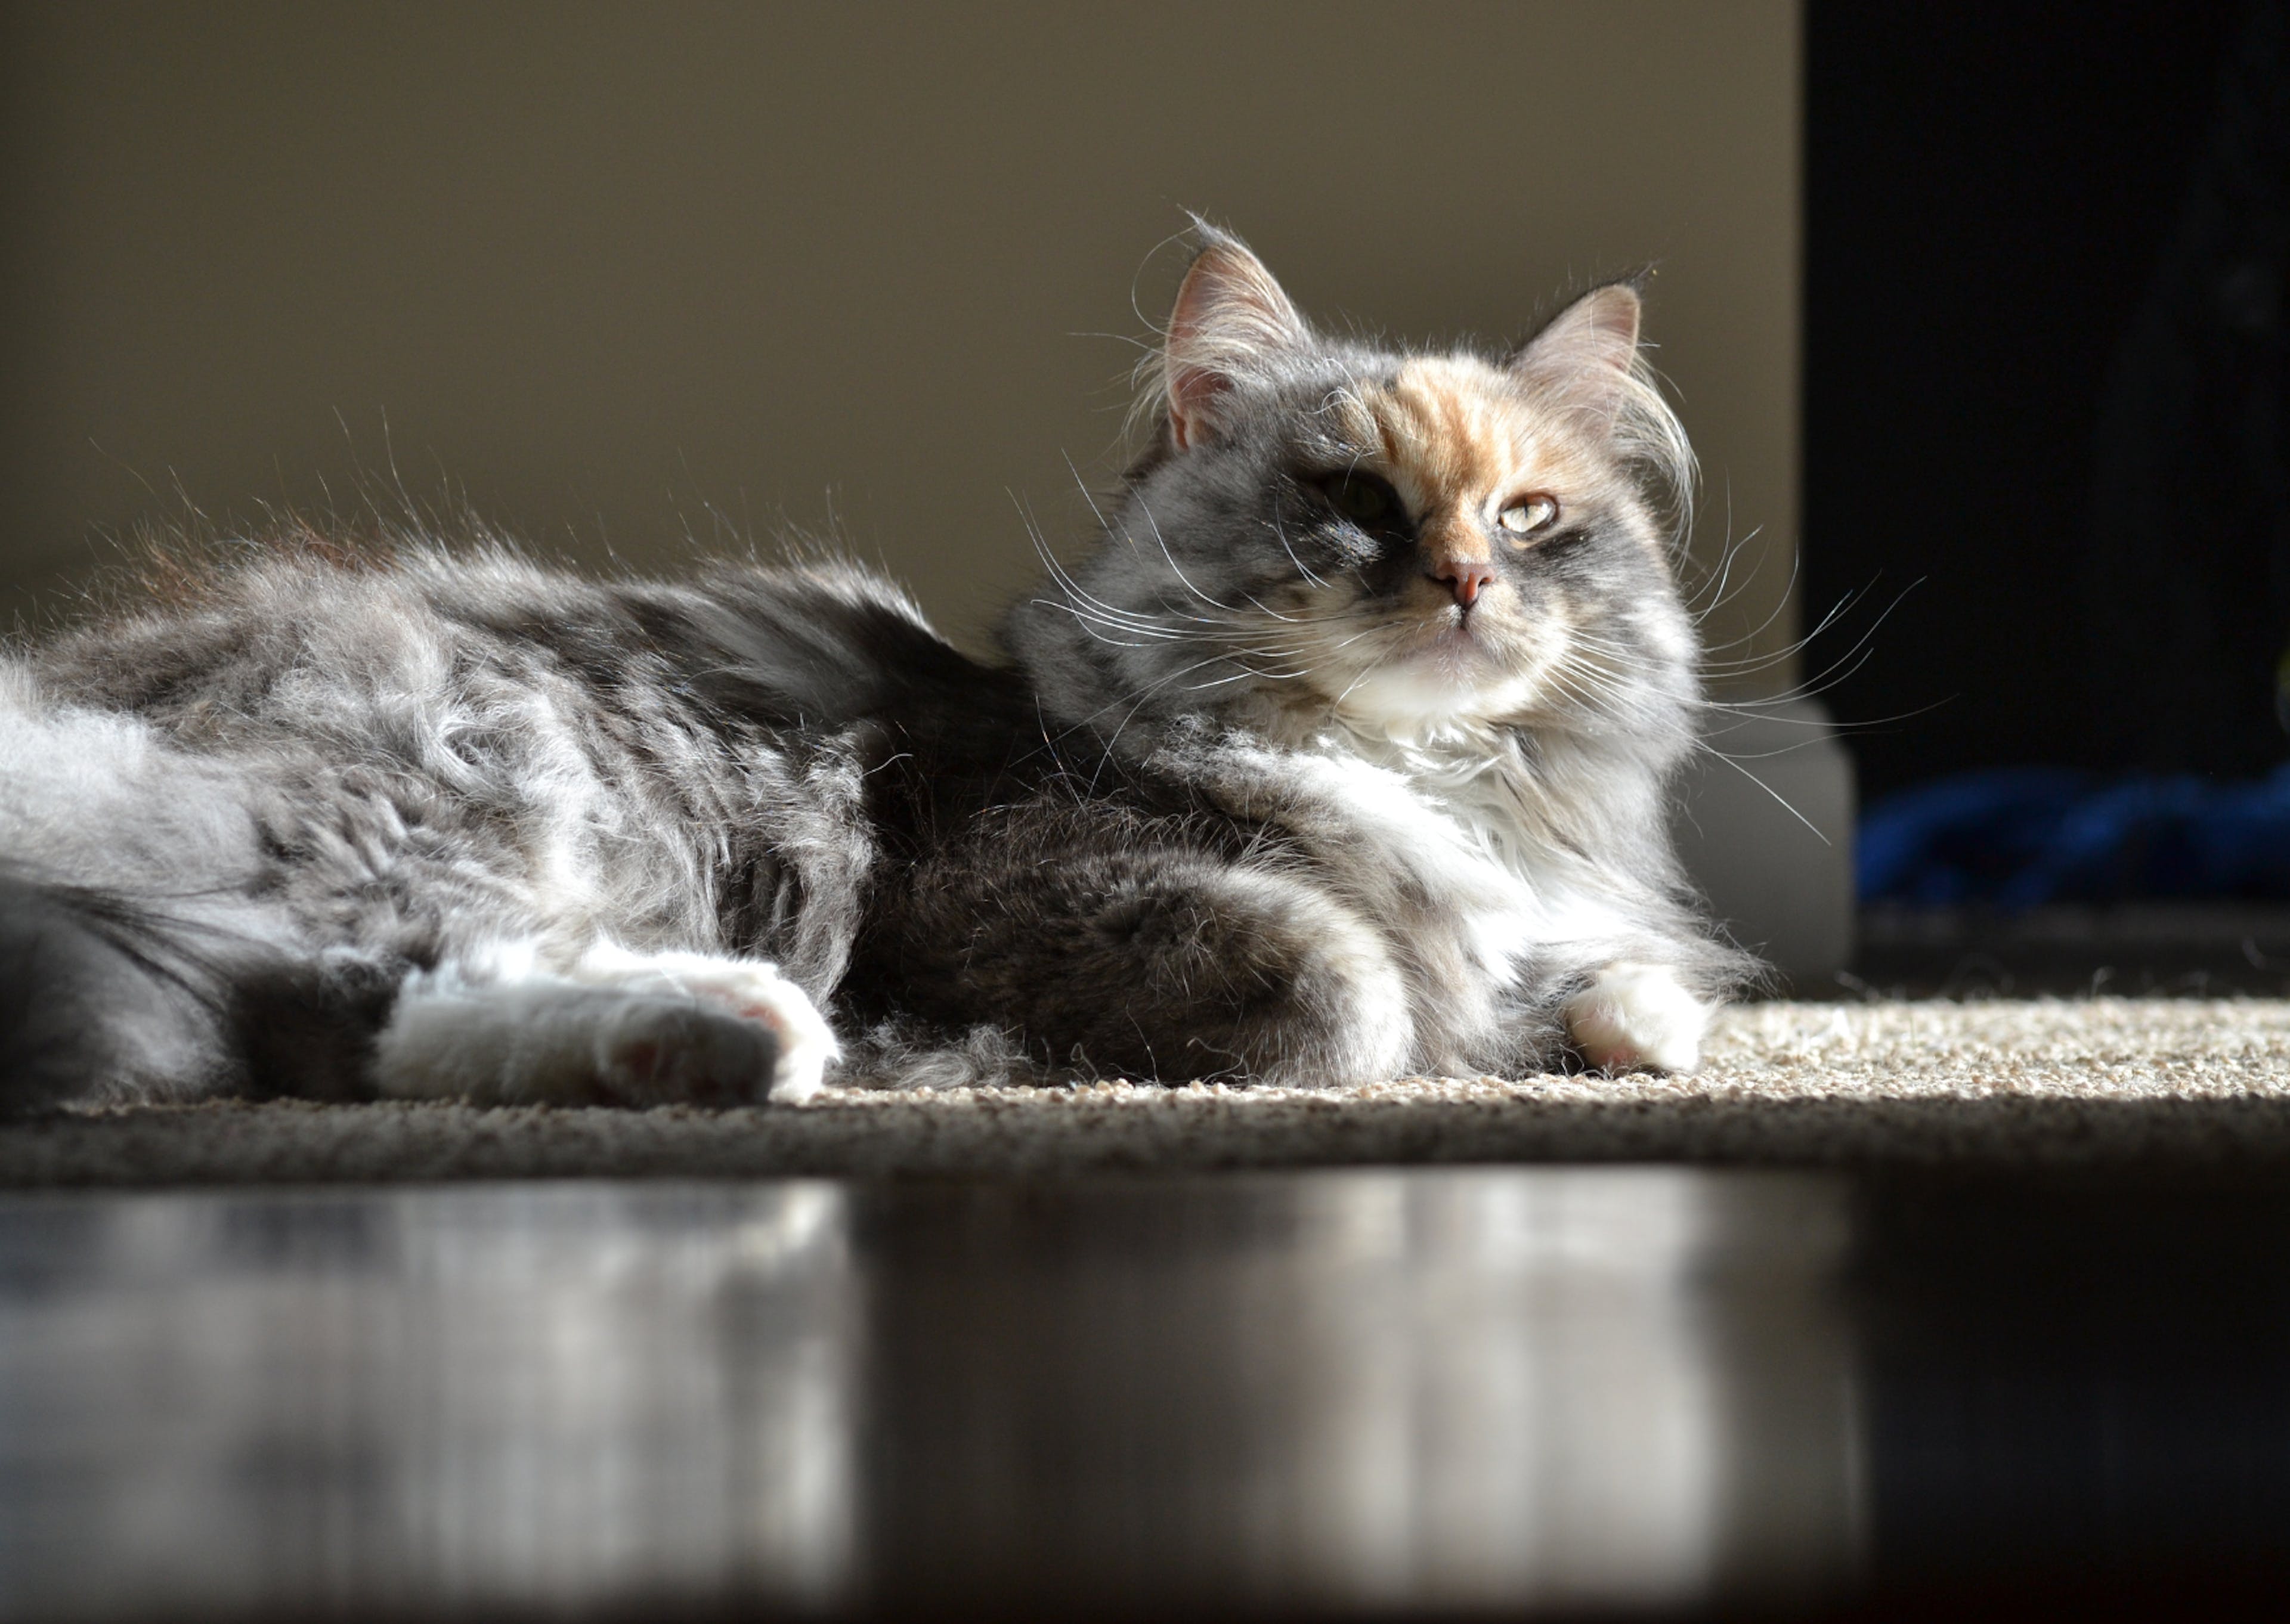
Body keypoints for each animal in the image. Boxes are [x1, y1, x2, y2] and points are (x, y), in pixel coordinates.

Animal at [0, 228, 1749, 1108]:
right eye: (1354, 500)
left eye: (1529, 519)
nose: (1463, 582)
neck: (1411, 778)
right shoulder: (996, 878)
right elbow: (1351, 986)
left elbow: (1631, 991)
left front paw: (1616, 1023)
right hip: (486, 796)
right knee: (360, 1001)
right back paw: (750, 1036)